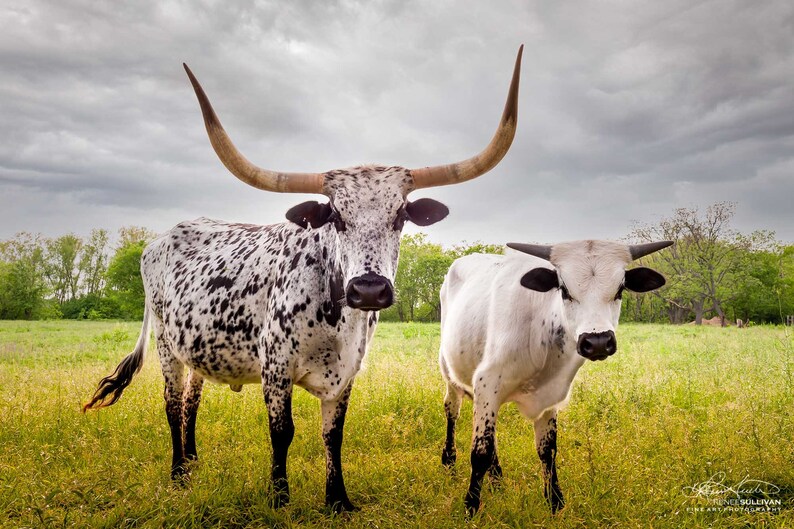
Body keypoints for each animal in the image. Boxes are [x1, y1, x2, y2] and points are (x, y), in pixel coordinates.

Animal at [82, 46, 524, 513]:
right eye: (336, 217)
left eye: (401, 216)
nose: (369, 289)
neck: (332, 314)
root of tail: (159, 240)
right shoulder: (275, 368)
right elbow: (283, 432)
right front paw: (279, 496)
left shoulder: (346, 375)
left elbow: (333, 435)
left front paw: (338, 499)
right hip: (167, 346)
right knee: (170, 403)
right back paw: (178, 473)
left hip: (197, 349)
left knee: (190, 403)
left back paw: (193, 462)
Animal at [438, 239, 672, 515]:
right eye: (564, 289)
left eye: (620, 289)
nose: (598, 342)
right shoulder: (487, 384)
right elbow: (480, 451)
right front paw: (471, 507)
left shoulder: (549, 395)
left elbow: (547, 450)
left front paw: (555, 501)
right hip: (450, 373)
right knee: (452, 412)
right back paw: (449, 460)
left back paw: (497, 481)